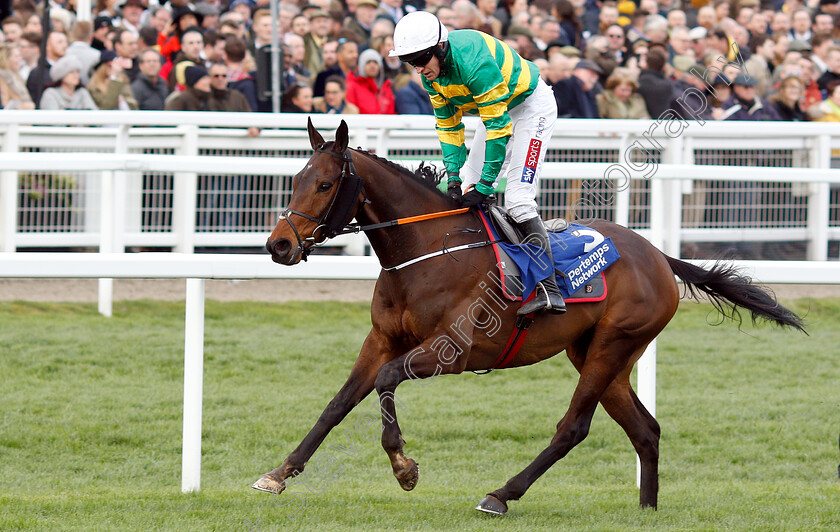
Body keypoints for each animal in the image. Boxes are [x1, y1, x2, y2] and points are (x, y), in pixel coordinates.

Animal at [258, 119, 808, 516]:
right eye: (296, 180)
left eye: (324, 184)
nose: (278, 245)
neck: (423, 252)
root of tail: (657, 255)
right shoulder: (381, 339)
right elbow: (337, 403)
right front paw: (279, 473)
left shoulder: (453, 351)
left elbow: (387, 381)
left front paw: (403, 466)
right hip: (600, 353)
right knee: (645, 429)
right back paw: (647, 510)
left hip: (613, 344)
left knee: (573, 427)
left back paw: (501, 494)